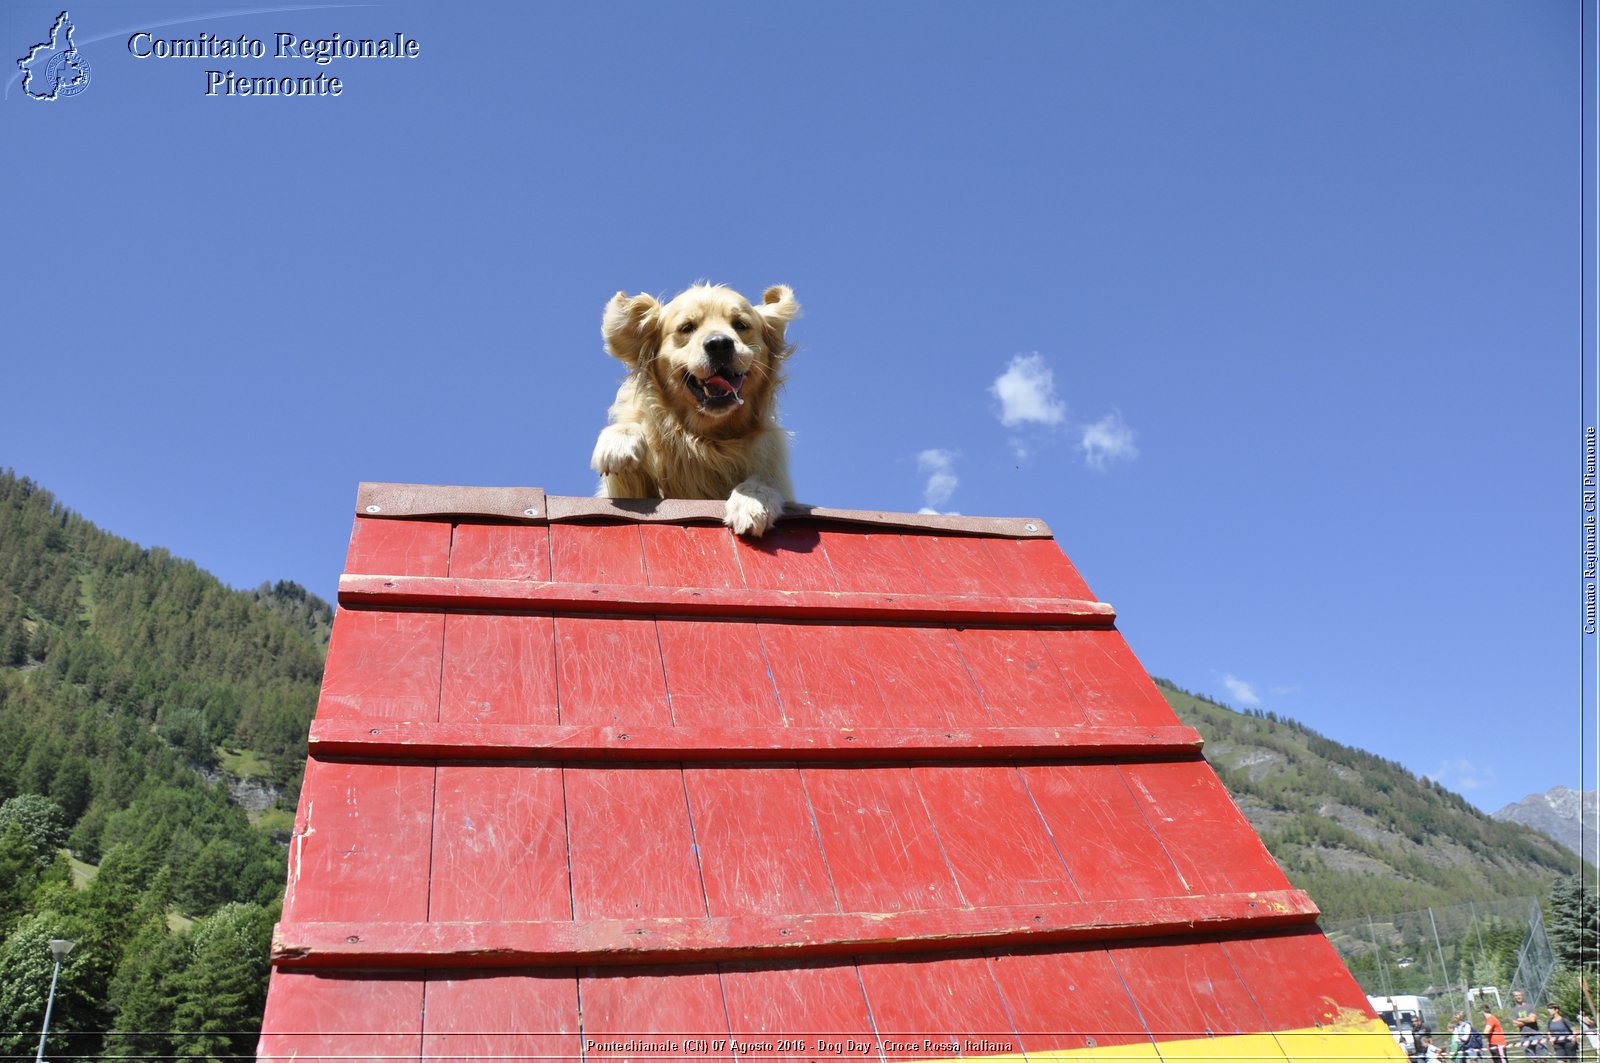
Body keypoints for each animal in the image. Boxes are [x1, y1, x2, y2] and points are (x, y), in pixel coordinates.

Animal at [592, 281, 796, 534]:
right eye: (687, 328)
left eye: (741, 325)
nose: (719, 344)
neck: (708, 441)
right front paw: (620, 441)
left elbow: (765, 479)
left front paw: (752, 502)